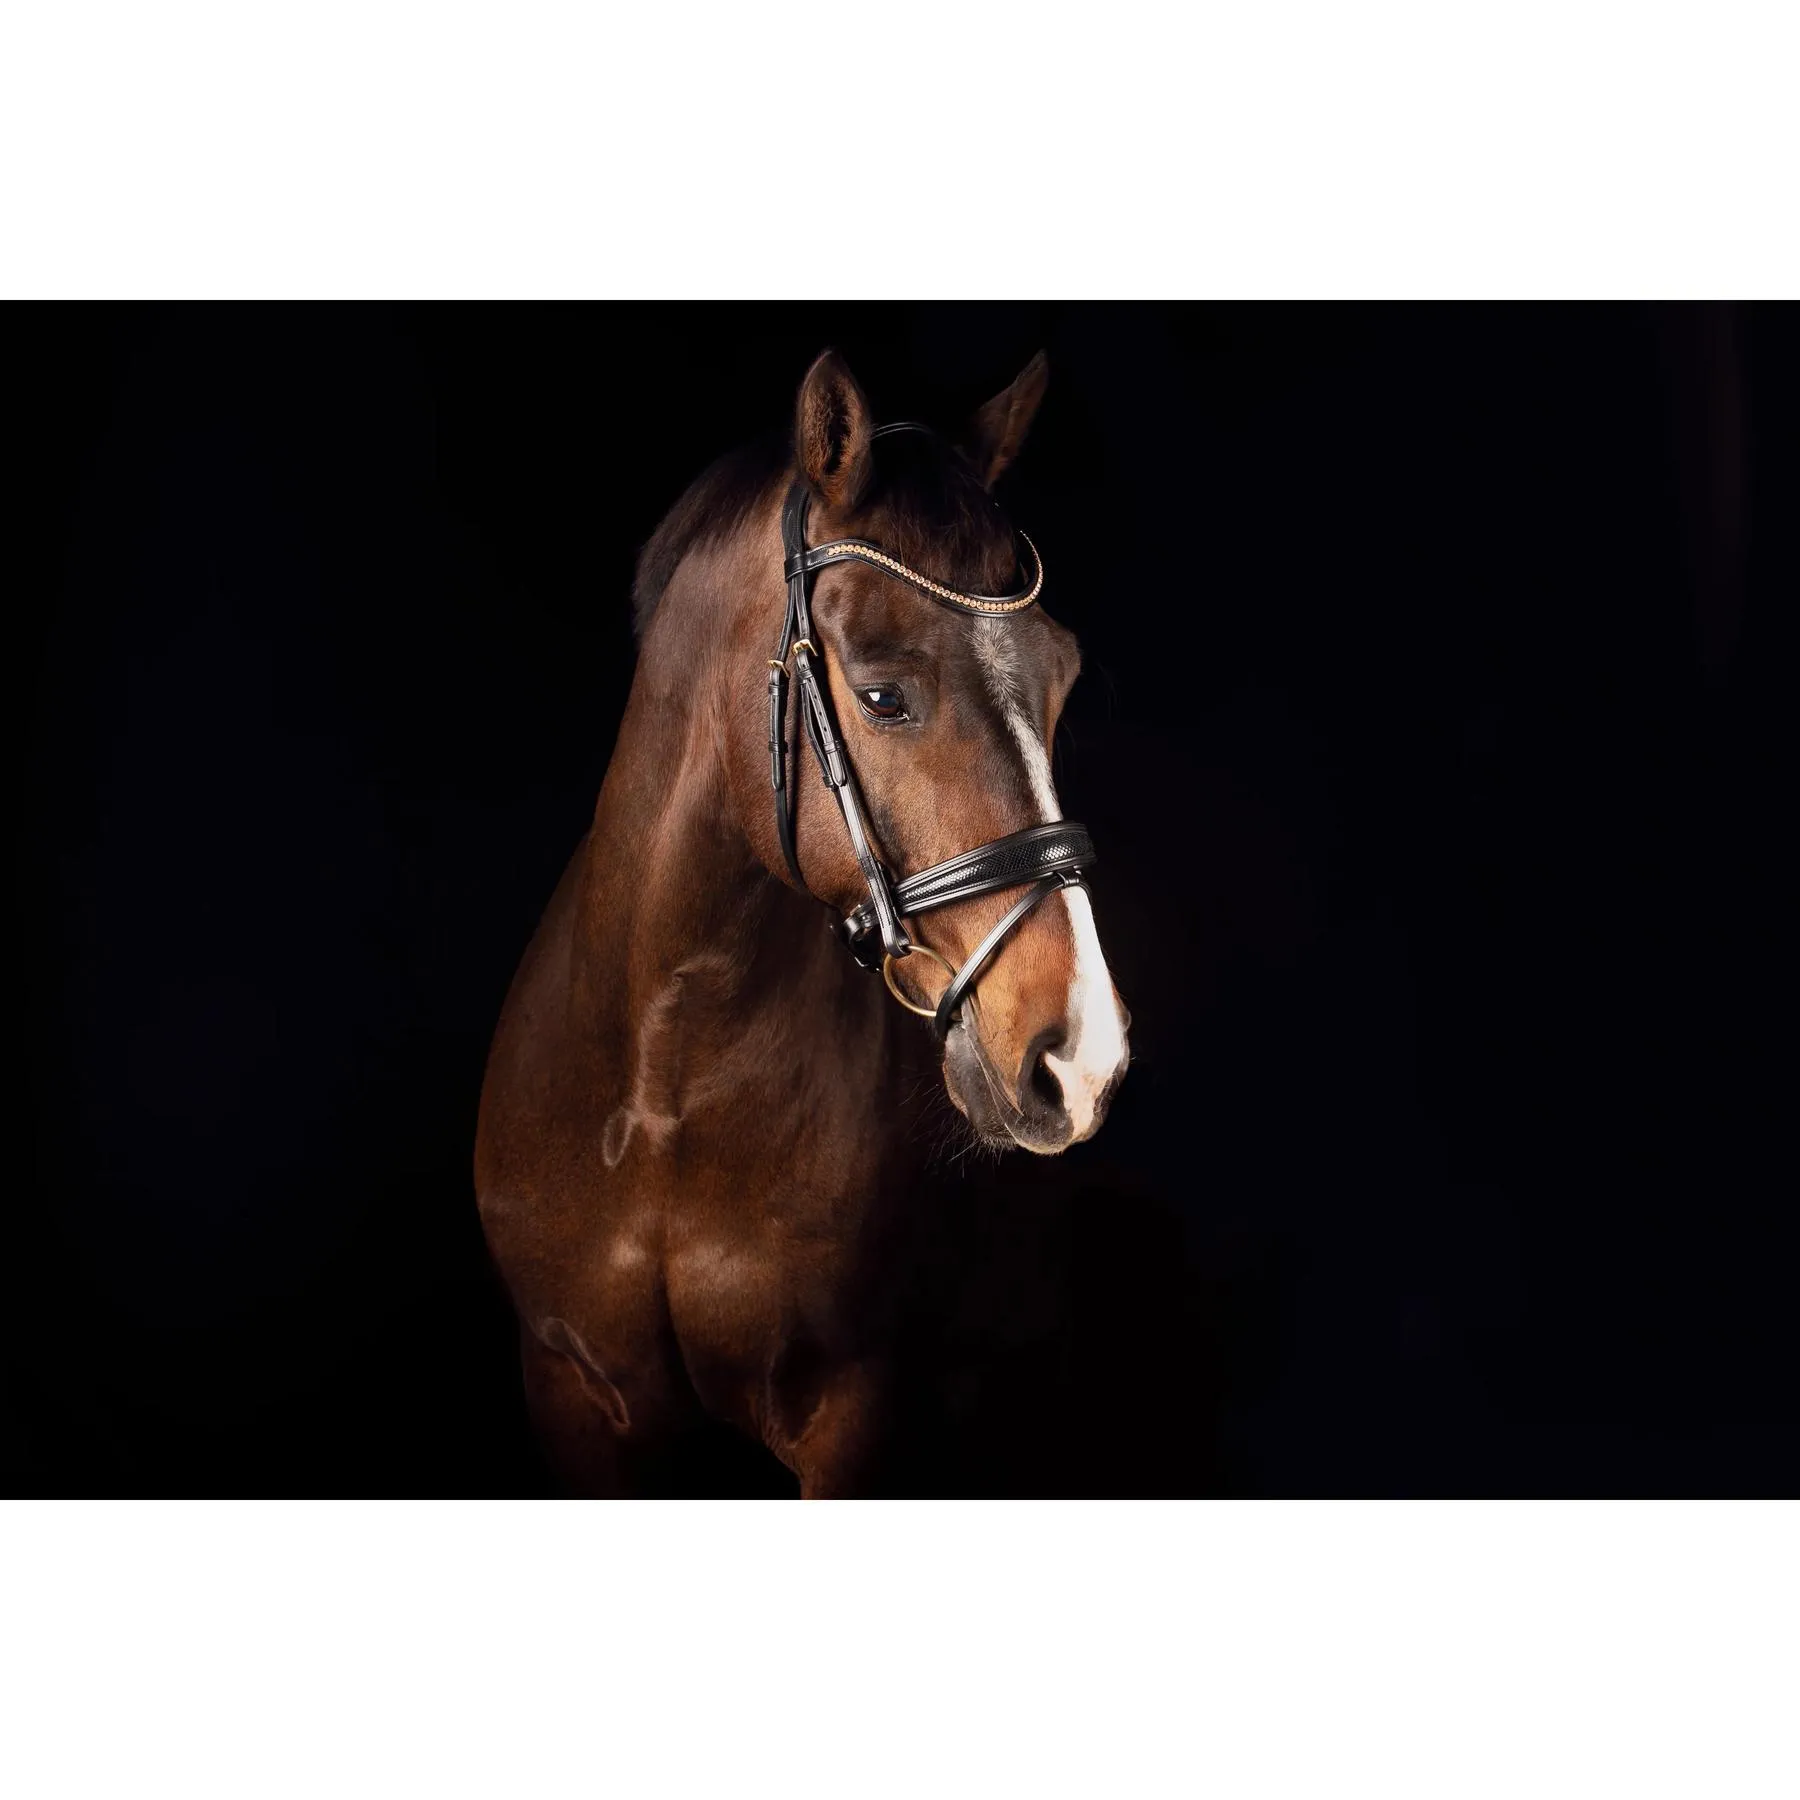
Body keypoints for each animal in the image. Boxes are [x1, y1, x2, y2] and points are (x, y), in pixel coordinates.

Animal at [475, 349, 1131, 1496]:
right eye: (881, 696)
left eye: (1061, 680)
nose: (1081, 1056)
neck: (664, 1080)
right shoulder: (571, 1389)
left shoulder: (854, 1413)